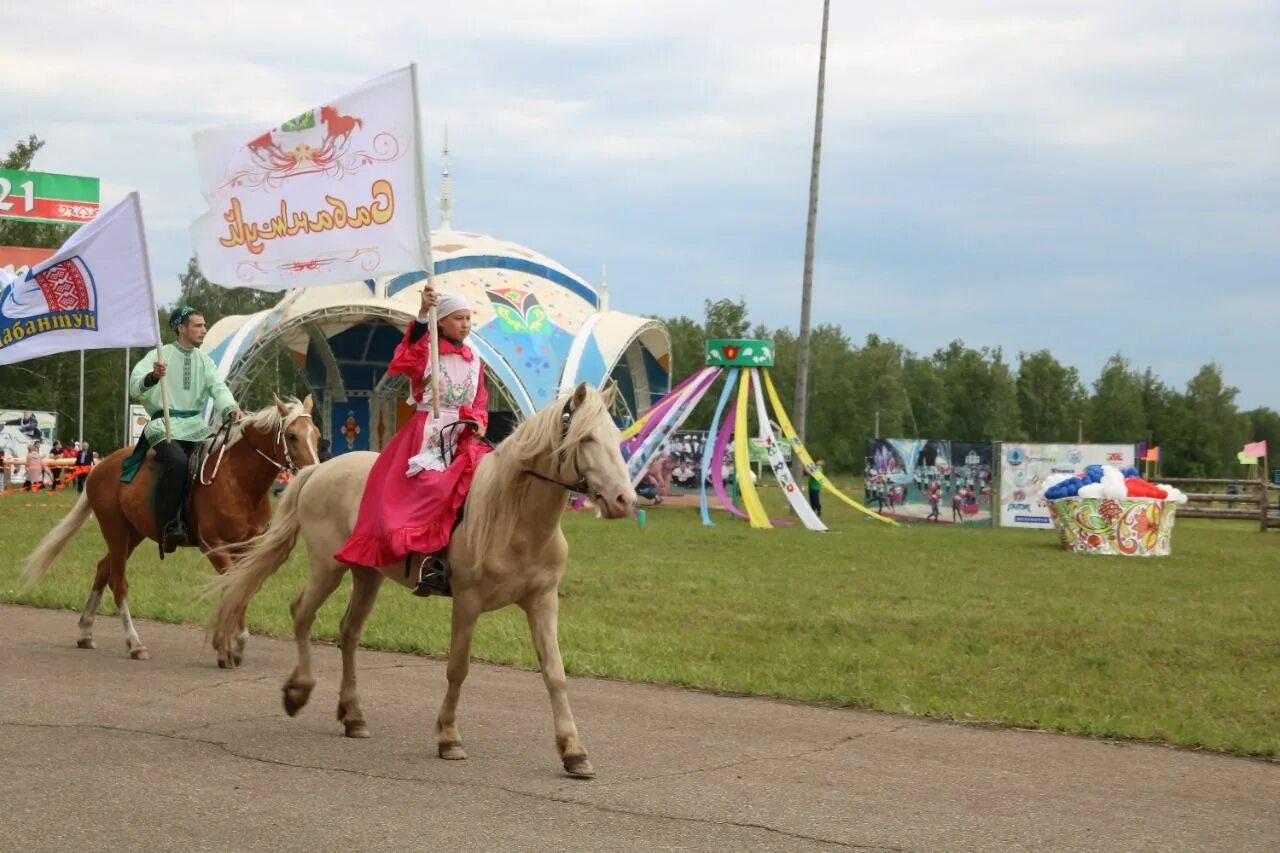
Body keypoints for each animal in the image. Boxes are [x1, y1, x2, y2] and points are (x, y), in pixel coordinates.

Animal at [22, 394, 320, 660]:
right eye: (292, 436)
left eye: (316, 435)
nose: (315, 472)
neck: (237, 479)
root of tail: (100, 467)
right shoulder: (213, 546)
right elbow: (231, 587)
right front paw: (226, 644)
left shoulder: (245, 548)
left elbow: (240, 587)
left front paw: (234, 644)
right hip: (116, 531)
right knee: (118, 582)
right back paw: (134, 644)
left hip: (133, 534)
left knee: (103, 569)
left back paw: (86, 631)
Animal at [208, 384, 640, 778]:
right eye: (586, 438)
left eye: (616, 438)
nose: (624, 500)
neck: (512, 516)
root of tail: (319, 469)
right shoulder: (467, 602)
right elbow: (458, 668)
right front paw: (449, 737)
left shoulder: (542, 600)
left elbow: (555, 673)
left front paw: (573, 751)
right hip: (326, 567)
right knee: (301, 614)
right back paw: (298, 691)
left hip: (366, 574)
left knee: (349, 632)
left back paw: (353, 715)